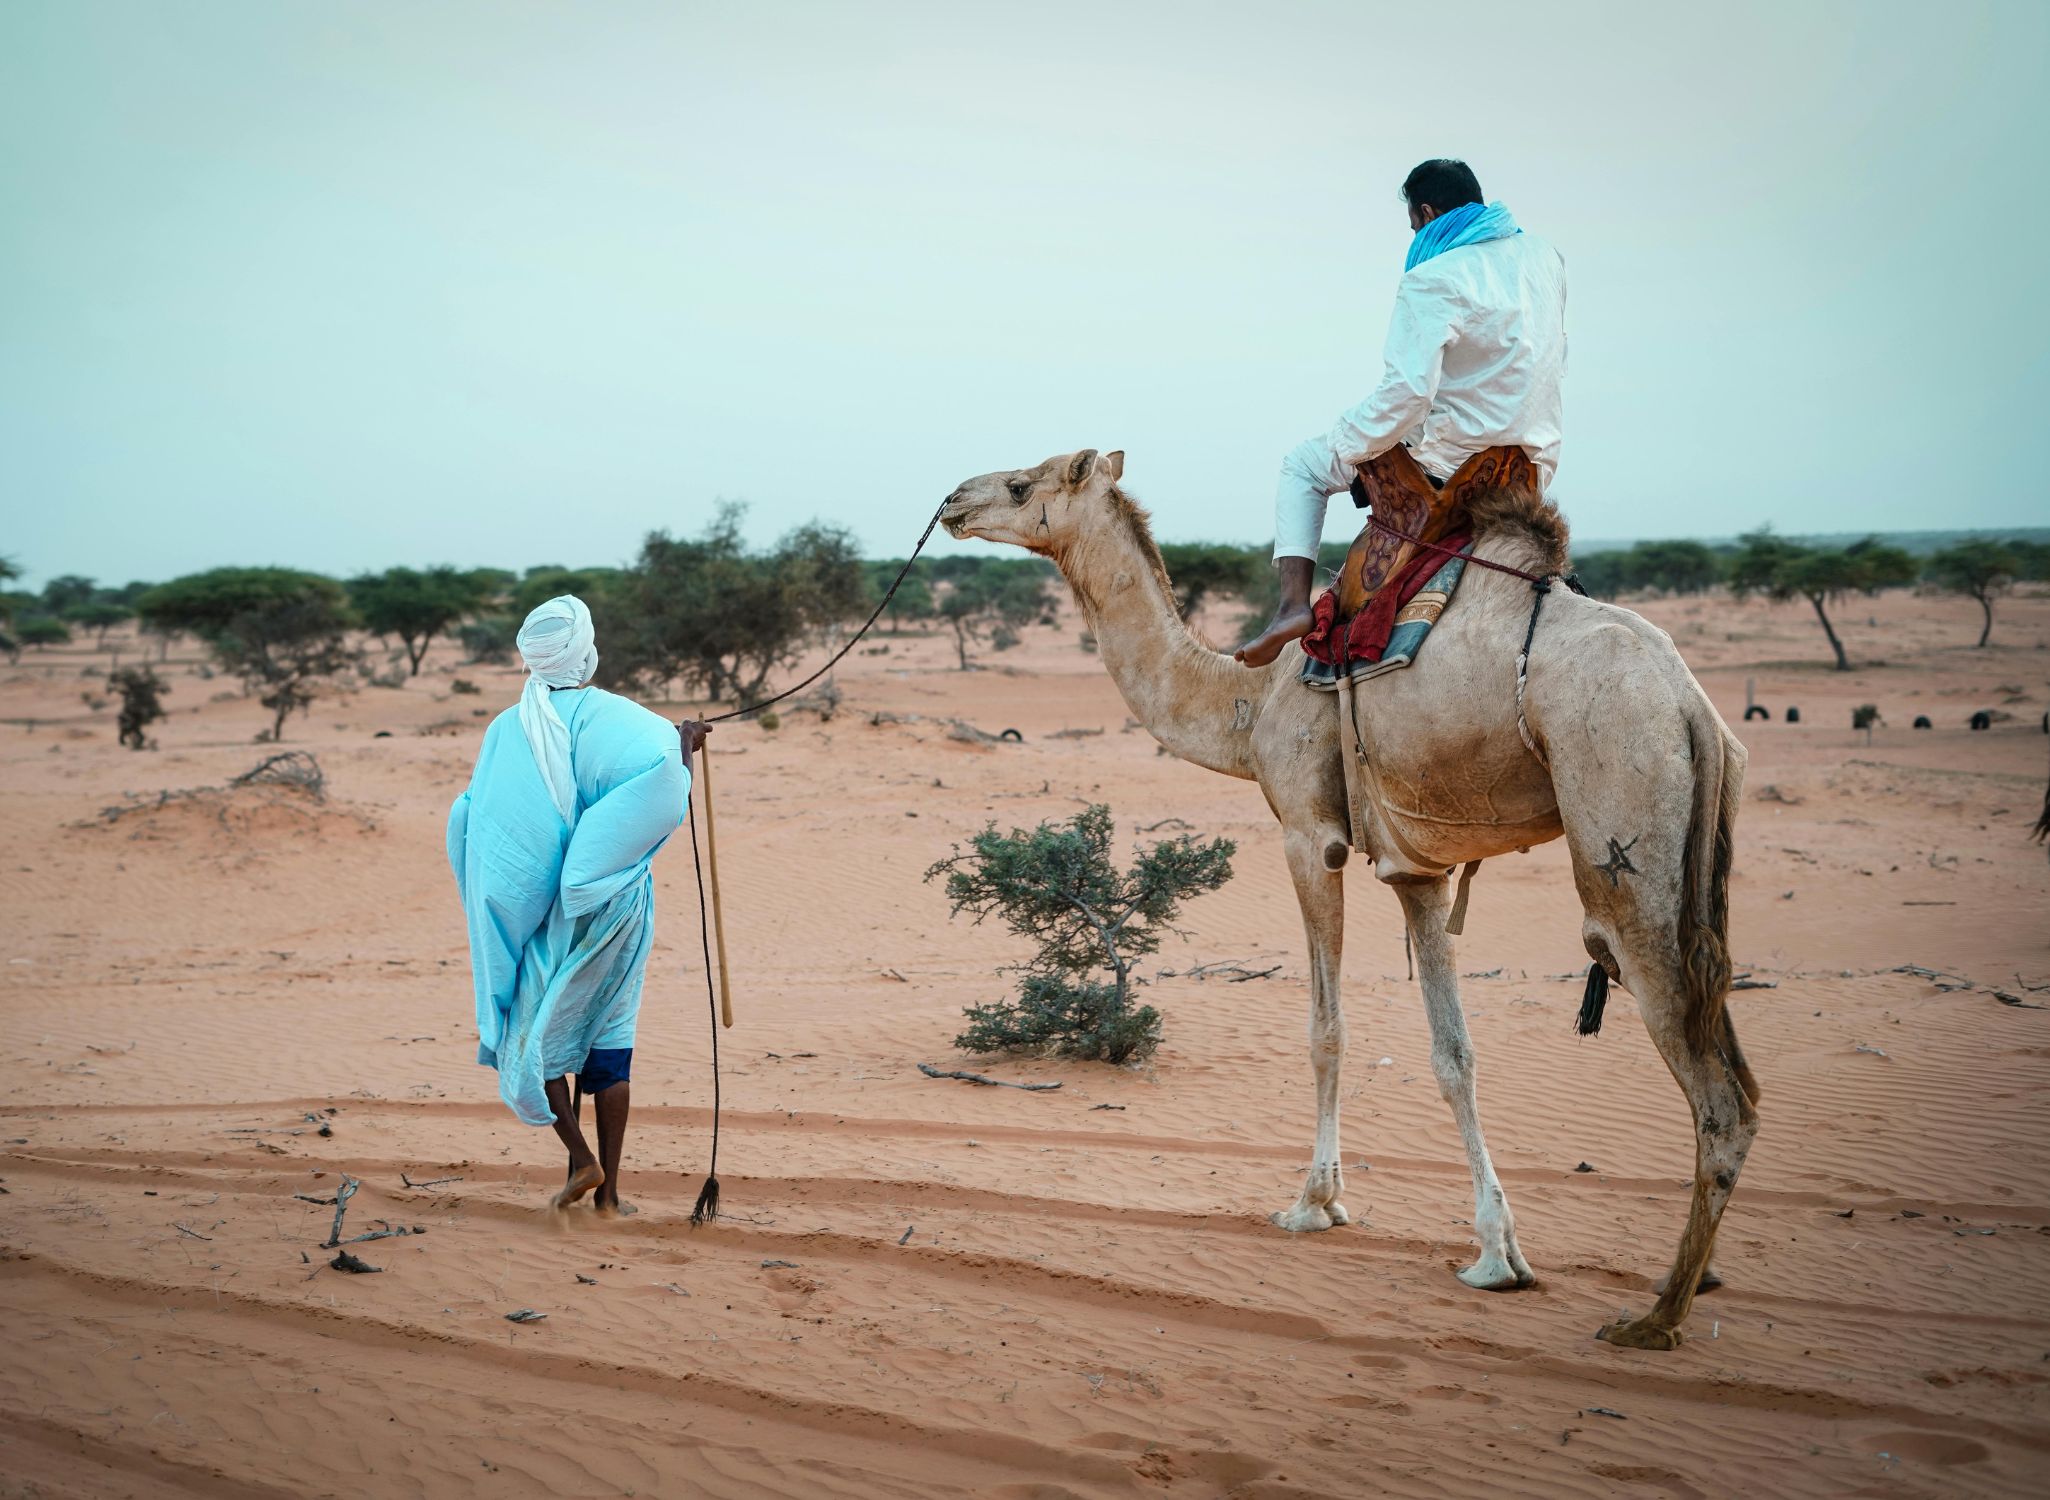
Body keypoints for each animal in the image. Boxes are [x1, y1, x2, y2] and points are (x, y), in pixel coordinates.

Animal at [938, 448, 1754, 1344]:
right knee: (1728, 1047)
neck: (1246, 699)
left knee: (1718, 1094)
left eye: (1023, 483)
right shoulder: (1417, 870)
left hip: (1626, 839)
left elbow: (1327, 1028)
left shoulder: (1307, 833)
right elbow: (1454, 1053)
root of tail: (1690, 704)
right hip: (1697, 865)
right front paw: (1496, 1254)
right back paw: (1695, 1278)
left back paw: (1656, 1317)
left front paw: (1314, 1202)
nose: (951, 500)